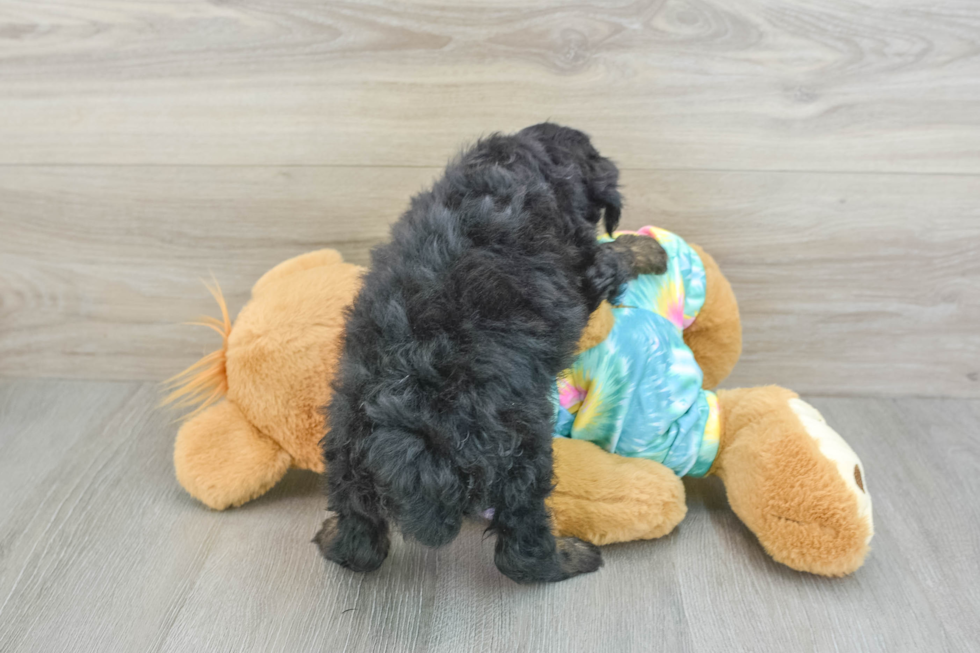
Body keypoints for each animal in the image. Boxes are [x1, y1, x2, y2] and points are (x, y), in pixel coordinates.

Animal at [314, 122, 668, 580]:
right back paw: (572, 556)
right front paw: (650, 250)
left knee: (361, 541)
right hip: (521, 454)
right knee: (521, 550)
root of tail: (413, 447)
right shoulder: (587, 268)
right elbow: (615, 254)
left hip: (345, 453)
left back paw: (332, 538)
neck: (523, 167)